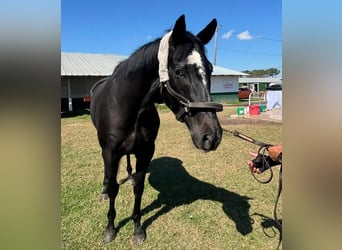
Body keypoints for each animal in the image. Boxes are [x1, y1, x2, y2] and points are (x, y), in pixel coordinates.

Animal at [89, 15, 223, 244]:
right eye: (179, 71)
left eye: (210, 69)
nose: (212, 136)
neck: (128, 107)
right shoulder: (111, 152)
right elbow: (115, 188)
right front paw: (110, 228)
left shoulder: (145, 152)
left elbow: (139, 188)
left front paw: (137, 229)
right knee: (108, 175)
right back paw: (104, 190)